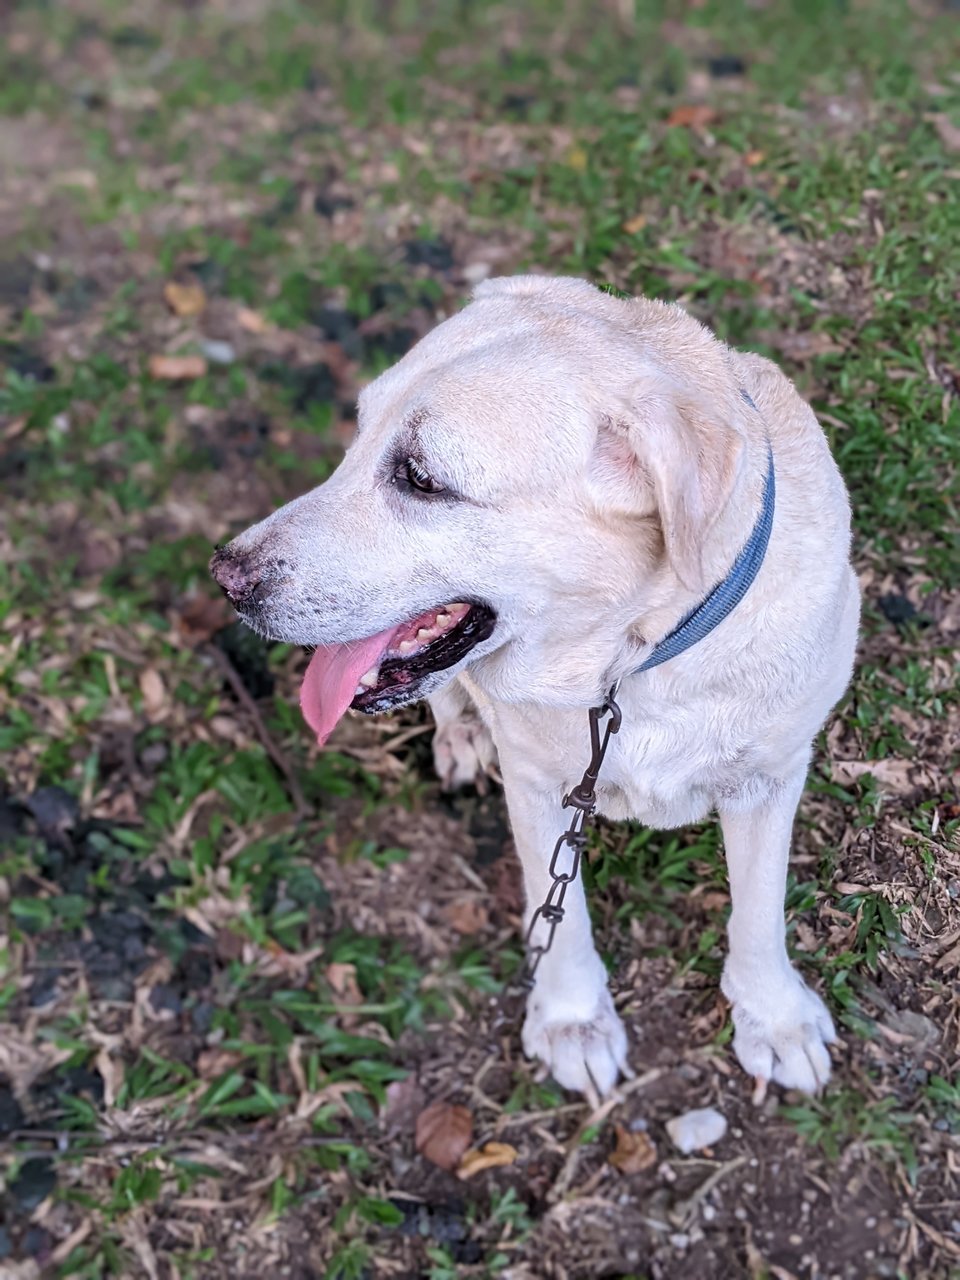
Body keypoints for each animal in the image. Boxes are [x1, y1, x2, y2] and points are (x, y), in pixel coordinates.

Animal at [212, 277, 865, 1100]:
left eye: (420, 478)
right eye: (356, 437)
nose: (225, 576)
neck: (631, 661)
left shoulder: (770, 777)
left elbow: (758, 910)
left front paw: (773, 1017)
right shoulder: (534, 780)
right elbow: (564, 911)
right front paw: (571, 1020)